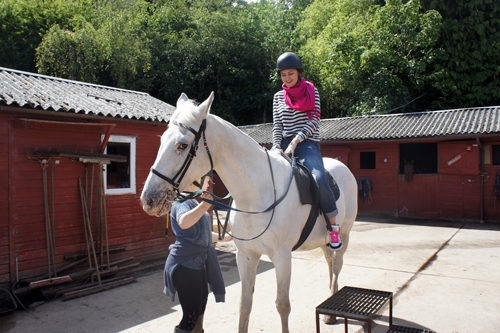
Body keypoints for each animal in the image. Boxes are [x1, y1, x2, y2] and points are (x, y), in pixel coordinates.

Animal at [141, 91, 360, 332]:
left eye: (182, 145)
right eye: (162, 140)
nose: (148, 199)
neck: (257, 194)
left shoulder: (282, 257)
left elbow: (283, 305)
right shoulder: (245, 256)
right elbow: (244, 304)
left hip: (344, 234)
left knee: (337, 264)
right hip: (322, 240)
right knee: (330, 262)